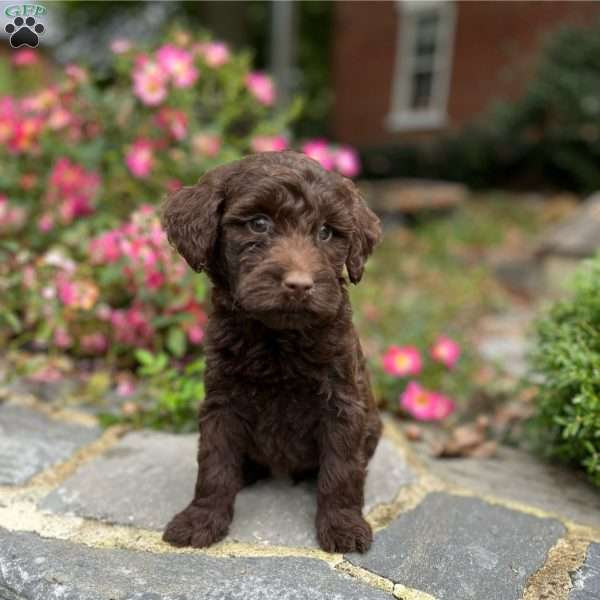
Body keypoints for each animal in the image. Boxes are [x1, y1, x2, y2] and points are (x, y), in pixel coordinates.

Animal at [162, 151, 382, 552]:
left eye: (326, 232)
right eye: (259, 224)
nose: (300, 285)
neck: (277, 339)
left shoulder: (343, 402)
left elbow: (342, 468)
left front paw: (343, 525)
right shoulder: (221, 401)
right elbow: (214, 463)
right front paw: (202, 518)